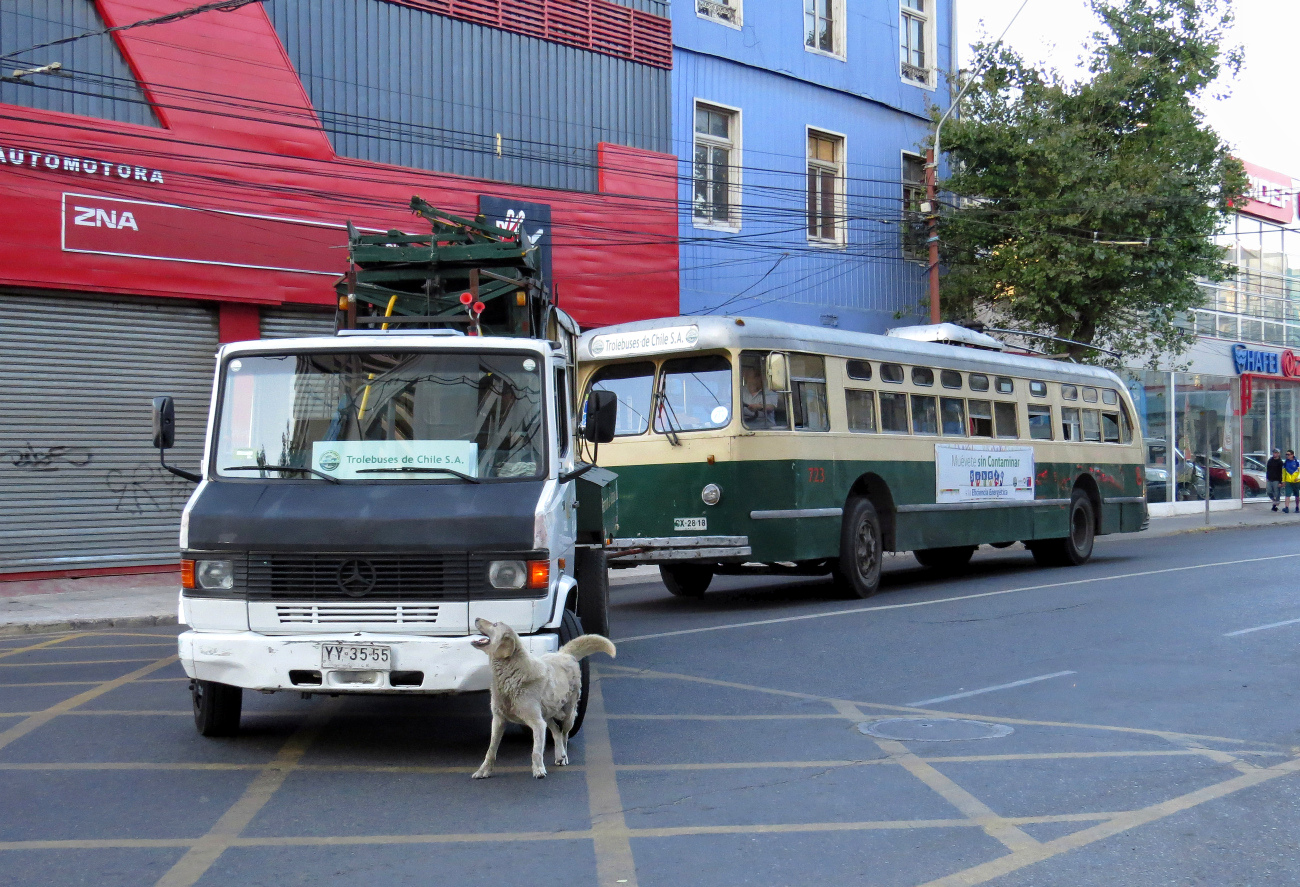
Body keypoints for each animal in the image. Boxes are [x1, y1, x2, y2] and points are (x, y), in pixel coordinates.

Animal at [467, 613, 613, 775]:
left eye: (495, 625)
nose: (476, 618)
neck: (511, 675)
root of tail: (564, 653)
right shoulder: (499, 720)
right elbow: (491, 750)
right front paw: (483, 771)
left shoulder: (537, 723)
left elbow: (536, 751)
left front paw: (538, 770)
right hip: (547, 714)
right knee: (556, 732)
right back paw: (559, 755)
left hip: (568, 714)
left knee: (564, 735)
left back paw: (563, 756)